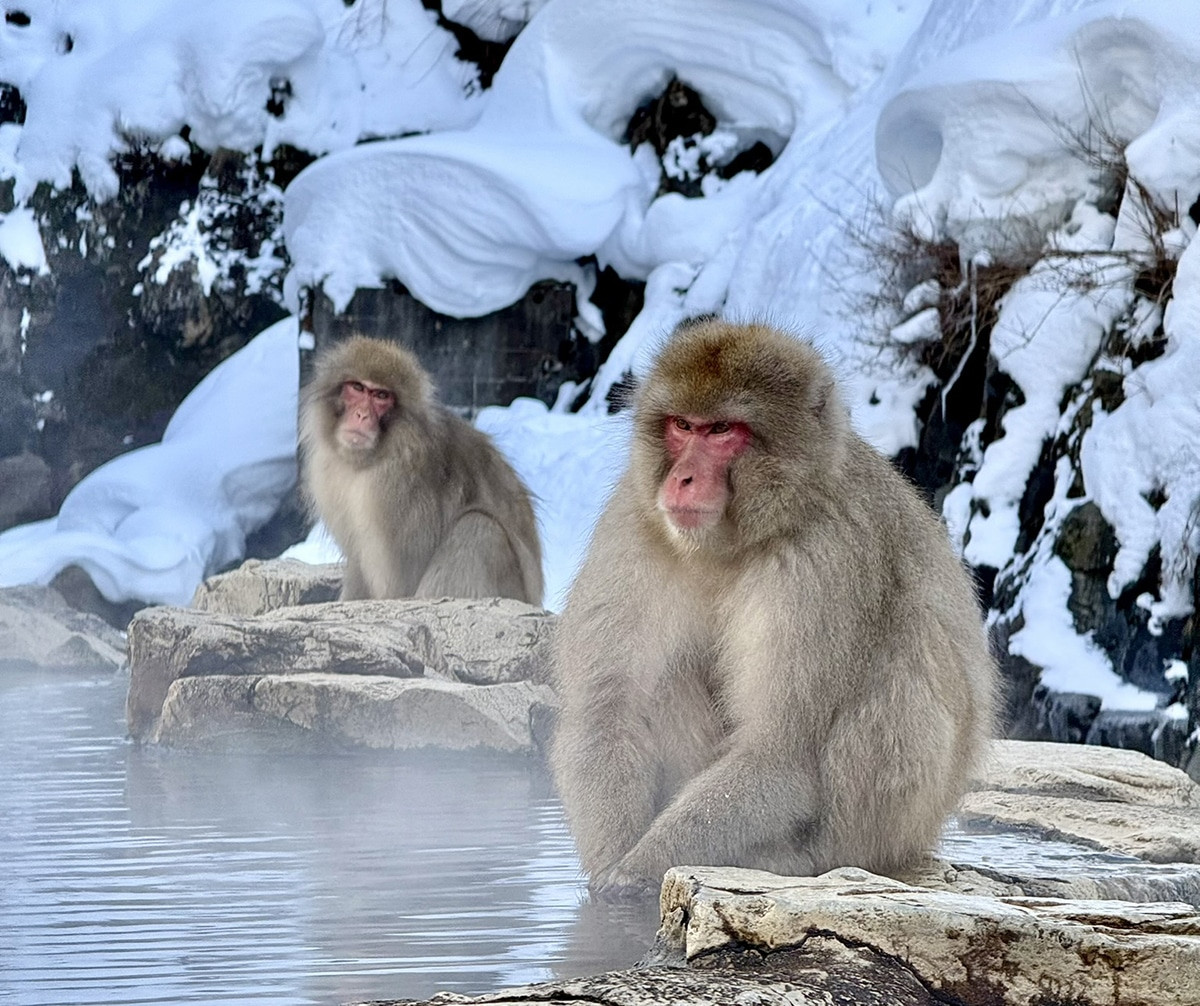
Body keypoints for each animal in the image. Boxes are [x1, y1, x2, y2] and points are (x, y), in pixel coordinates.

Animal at [299, 335, 543, 606]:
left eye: (381, 395)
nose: (361, 415)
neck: (372, 457)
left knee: (478, 528)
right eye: (358, 388)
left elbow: (399, 581)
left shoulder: (398, 487)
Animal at [549, 318, 997, 898]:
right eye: (682, 426)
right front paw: (611, 867)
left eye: (722, 431)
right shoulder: (635, 526)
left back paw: (799, 859)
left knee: (900, 670)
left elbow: (780, 752)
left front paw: (639, 866)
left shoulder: (821, 561)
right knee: (667, 676)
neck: (733, 542)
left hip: (888, 825)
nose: (682, 478)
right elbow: (609, 711)